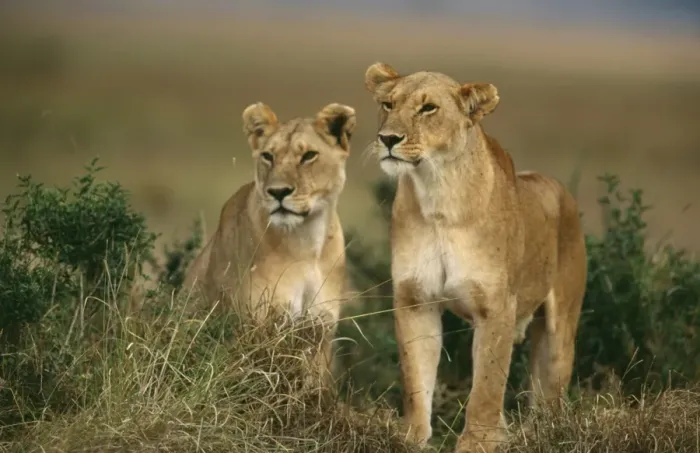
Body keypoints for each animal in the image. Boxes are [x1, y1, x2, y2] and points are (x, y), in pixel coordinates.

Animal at [181, 101, 356, 380]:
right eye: (268, 156)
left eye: (309, 156)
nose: (278, 192)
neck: (306, 243)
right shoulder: (253, 327)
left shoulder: (319, 331)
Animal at [364, 62, 587, 453]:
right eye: (388, 104)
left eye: (428, 109)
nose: (387, 139)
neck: (437, 193)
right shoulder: (415, 301)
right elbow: (415, 377)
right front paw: (411, 438)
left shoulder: (496, 306)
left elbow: (486, 385)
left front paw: (478, 442)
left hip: (559, 331)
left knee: (550, 393)